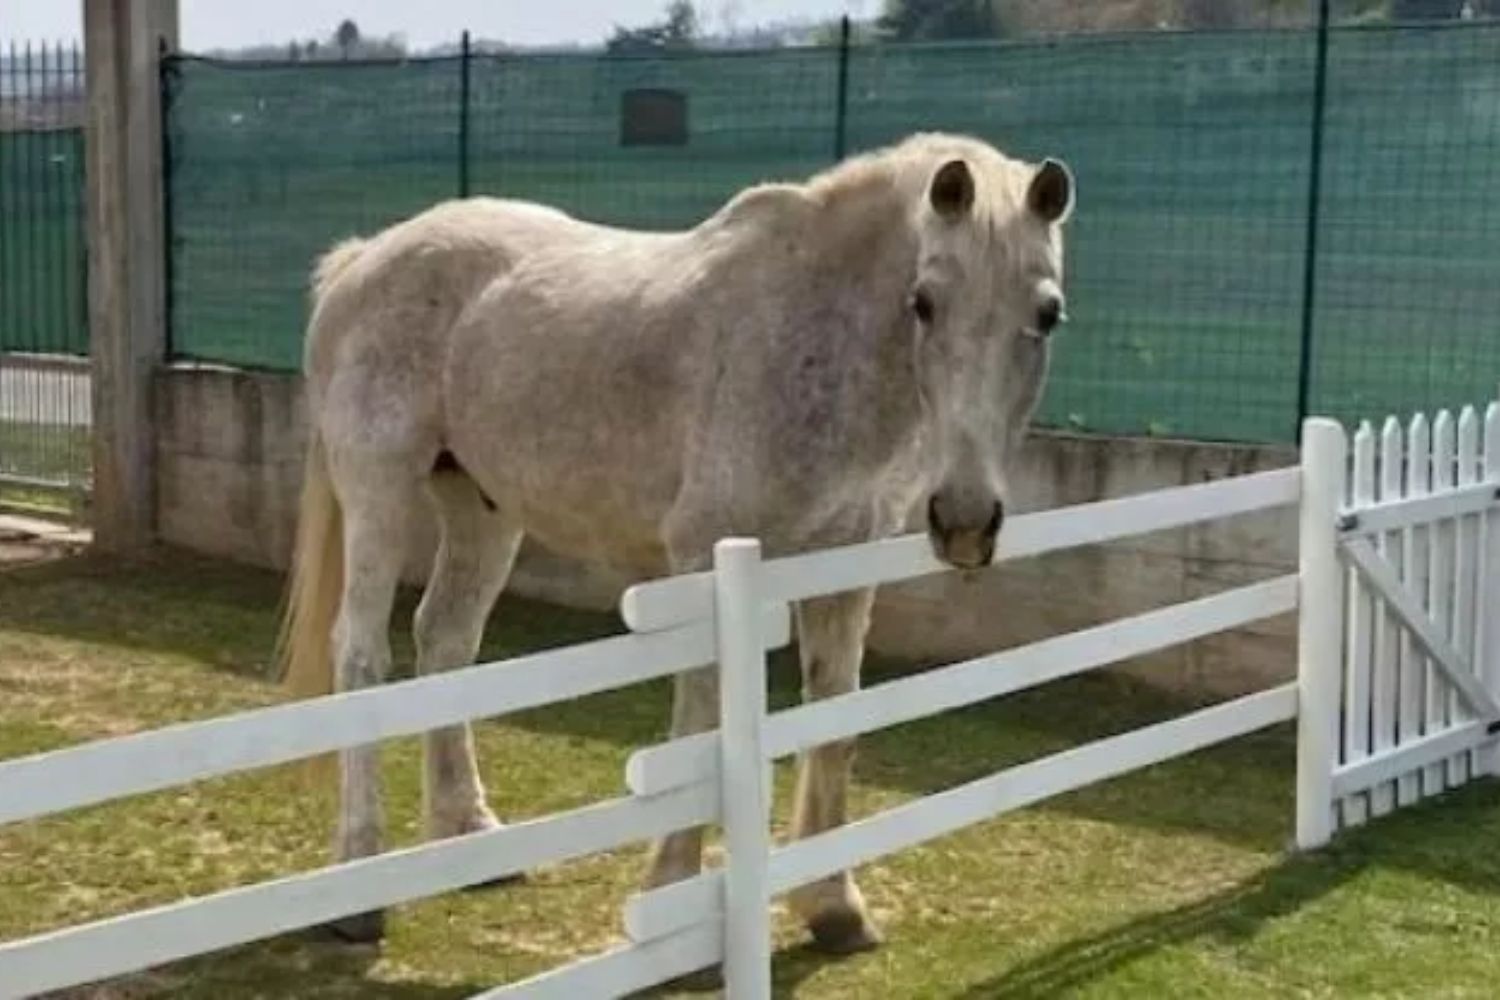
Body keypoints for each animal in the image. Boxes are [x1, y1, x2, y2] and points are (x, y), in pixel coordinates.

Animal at [277, 132, 1075, 953]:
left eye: (1047, 314)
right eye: (924, 302)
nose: (966, 520)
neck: (811, 335)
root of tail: (363, 258)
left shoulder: (841, 571)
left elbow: (834, 719)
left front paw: (835, 907)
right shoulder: (706, 560)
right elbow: (702, 725)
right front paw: (670, 892)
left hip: (482, 509)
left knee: (445, 641)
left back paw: (470, 836)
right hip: (379, 489)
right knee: (363, 655)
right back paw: (357, 889)